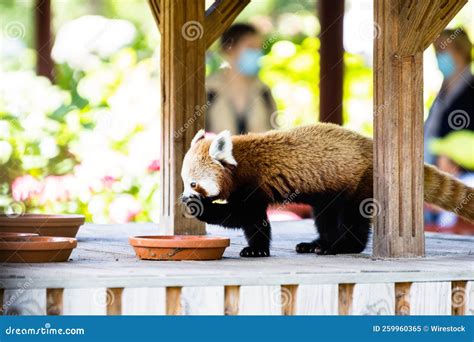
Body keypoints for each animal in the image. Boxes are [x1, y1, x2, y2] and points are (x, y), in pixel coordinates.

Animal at [181, 124, 474, 258]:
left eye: (193, 183)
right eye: (184, 181)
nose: (183, 196)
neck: (239, 160)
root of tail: (372, 145)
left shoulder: (252, 185)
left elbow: (245, 217)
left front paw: (201, 208)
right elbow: (254, 222)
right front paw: (257, 249)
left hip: (361, 182)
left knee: (354, 219)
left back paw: (342, 246)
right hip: (329, 192)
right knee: (325, 216)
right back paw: (318, 243)